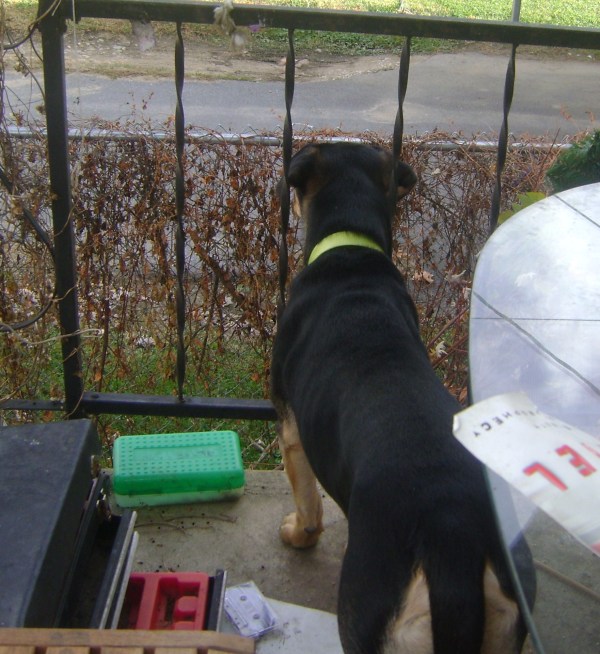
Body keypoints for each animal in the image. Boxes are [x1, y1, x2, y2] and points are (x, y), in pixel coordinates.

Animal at [272, 145, 536, 654]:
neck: (351, 250)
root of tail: (455, 542)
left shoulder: (291, 427)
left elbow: (308, 503)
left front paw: (297, 534)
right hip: (507, 619)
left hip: (370, 611)